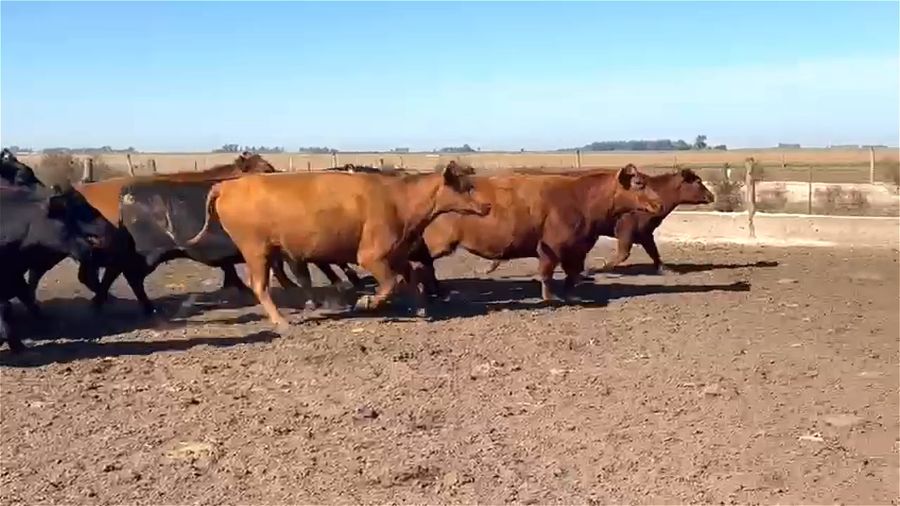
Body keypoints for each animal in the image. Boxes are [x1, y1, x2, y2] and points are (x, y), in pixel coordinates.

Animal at [182, 164, 491, 329]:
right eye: (465, 186)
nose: (487, 206)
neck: (399, 200)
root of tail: (227, 185)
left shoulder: (396, 254)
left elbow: (410, 278)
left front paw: (421, 310)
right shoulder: (371, 257)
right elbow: (390, 284)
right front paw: (367, 302)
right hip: (256, 250)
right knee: (260, 286)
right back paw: (282, 322)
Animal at [408, 164, 663, 303]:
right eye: (638, 183)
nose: (659, 204)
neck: (580, 199)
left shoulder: (576, 249)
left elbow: (573, 275)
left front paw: (571, 295)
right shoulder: (551, 248)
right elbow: (547, 274)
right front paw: (550, 298)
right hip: (436, 244)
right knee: (423, 267)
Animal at [482, 168, 715, 276]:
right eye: (697, 181)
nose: (711, 196)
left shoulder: (645, 233)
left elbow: (654, 252)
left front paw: (665, 269)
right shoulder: (626, 230)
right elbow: (623, 254)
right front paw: (601, 267)